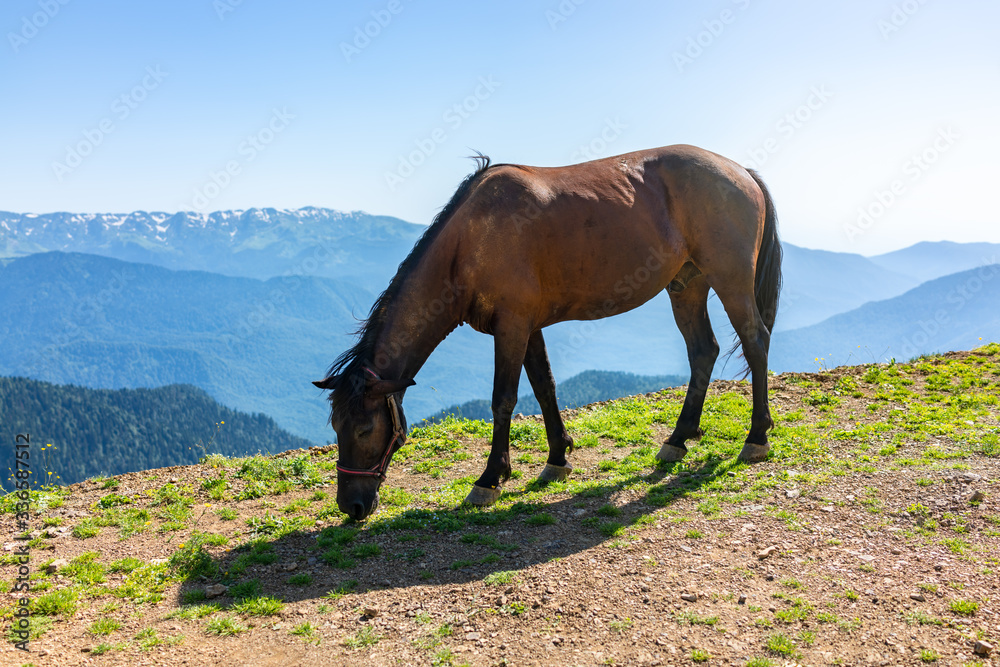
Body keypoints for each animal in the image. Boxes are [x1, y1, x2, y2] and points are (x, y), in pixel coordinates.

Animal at [312, 146, 780, 520]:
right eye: (335, 426)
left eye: (364, 430)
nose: (352, 506)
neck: (471, 239)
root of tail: (739, 170)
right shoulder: (529, 327)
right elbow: (545, 387)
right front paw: (557, 458)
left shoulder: (512, 327)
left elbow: (503, 399)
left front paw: (490, 478)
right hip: (687, 284)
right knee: (703, 351)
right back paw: (678, 439)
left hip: (730, 279)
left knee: (755, 342)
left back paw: (756, 437)